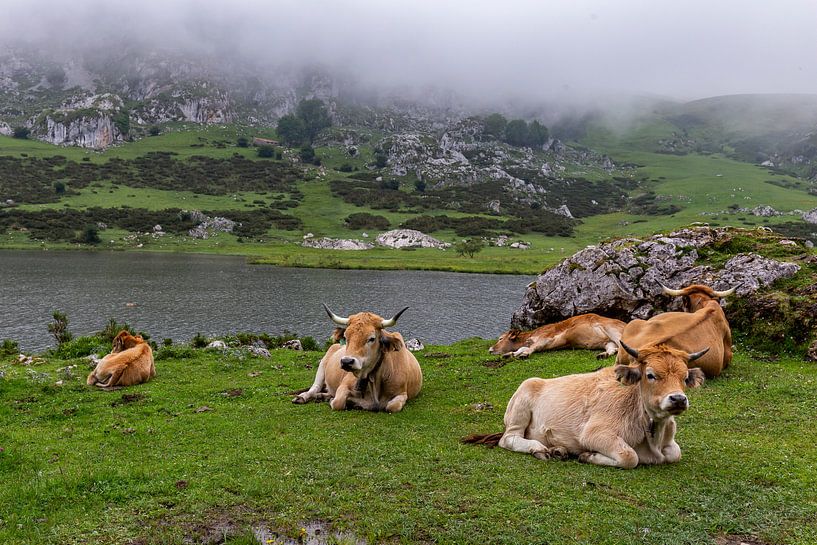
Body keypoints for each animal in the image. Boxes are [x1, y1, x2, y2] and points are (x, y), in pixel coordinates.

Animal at [292, 302, 420, 412]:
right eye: (346, 336)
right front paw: (342, 401)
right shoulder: (343, 386)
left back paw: (322, 396)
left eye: (372, 338)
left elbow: (392, 406)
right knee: (315, 387)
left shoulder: (402, 394)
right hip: (322, 365)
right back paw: (303, 397)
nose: (346, 361)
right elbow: (338, 402)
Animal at [462, 342, 704, 466]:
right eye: (651, 375)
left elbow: (675, 453)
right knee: (508, 439)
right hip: (520, 404)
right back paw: (538, 448)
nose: (678, 399)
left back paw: (558, 450)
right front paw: (589, 455)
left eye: (684, 378)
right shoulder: (594, 433)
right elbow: (630, 457)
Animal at [484, 312, 624, 360]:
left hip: (612, 330)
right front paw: (510, 354)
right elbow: (522, 348)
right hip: (607, 341)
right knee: (613, 349)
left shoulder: (547, 338)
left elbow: (530, 348)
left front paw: (524, 354)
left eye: (500, 338)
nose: (490, 349)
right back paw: (603, 355)